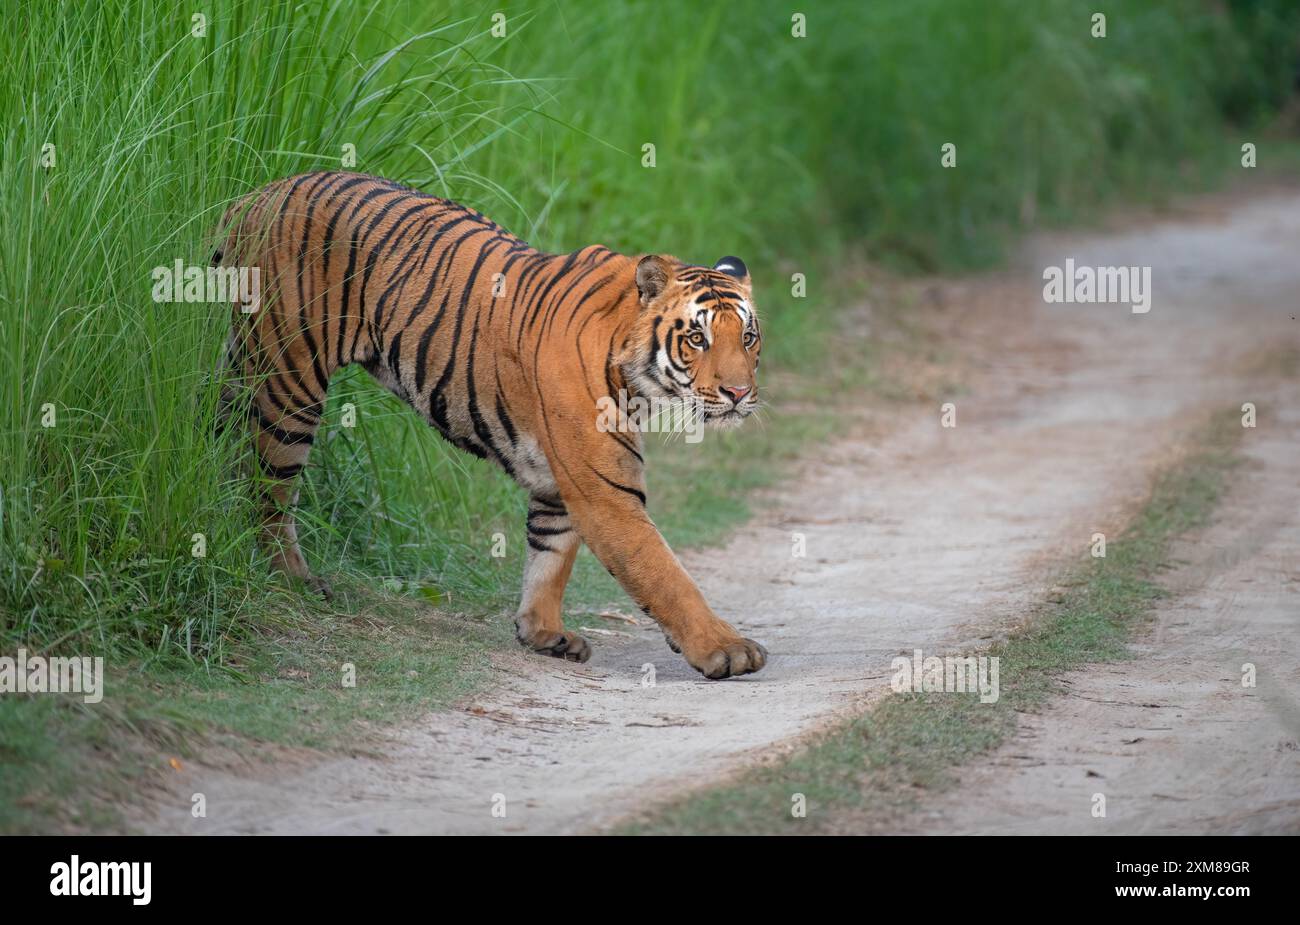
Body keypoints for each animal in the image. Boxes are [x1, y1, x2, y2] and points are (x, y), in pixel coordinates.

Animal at [210, 171, 759, 680]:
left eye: (748, 337)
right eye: (697, 338)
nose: (738, 393)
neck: (636, 378)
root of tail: (255, 196)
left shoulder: (561, 482)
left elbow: (549, 555)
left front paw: (543, 633)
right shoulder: (605, 492)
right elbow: (664, 573)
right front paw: (726, 649)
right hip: (287, 383)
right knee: (270, 493)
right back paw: (295, 580)